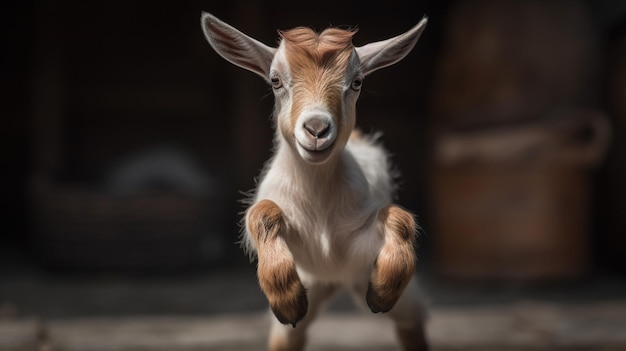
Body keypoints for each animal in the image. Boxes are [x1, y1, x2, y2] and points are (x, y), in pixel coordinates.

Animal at [202, 13, 426, 351]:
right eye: (275, 80)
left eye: (357, 82)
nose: (317, 129)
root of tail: (333, 279)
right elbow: (263, 213)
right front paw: (287, 301)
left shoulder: (356, 249)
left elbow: (397, 217)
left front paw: (382, 292)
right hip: (313, 282)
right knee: (288, 337)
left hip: (369, 284)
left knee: (411, 323)